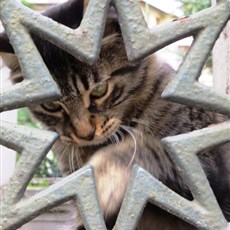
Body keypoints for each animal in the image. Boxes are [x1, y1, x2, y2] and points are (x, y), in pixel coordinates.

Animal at [0, 0, 230, 229]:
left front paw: (101, 180)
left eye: (99, 90)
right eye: (50, 105)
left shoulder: (200, 157)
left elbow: (142, 148)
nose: (85, 134)